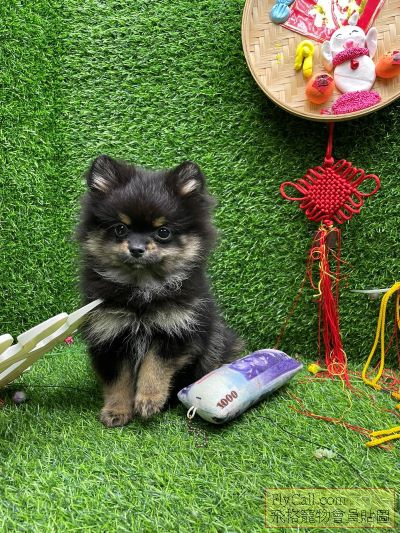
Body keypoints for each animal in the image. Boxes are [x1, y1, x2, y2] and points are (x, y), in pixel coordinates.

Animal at [77, 155, 243, 427]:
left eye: (163, 232)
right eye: (120, 229)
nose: (136, 249)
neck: (142, 290)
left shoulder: (175, 330)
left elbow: (154, 368)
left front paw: (149, 400)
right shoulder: (109, 335)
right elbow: (118, 381)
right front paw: (117, 410)